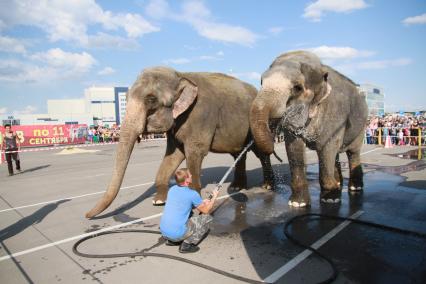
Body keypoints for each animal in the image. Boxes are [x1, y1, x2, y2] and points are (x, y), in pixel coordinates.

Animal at [85, 67, 274, 219]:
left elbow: (195, 153)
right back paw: (237, 188)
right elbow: (174, 154)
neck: (181, 74)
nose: (86, 216)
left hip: (258, 125)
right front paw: (159, 201)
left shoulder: (201, 115)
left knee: (261, 152)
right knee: (238, 154)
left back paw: (267, 186)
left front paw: (195, 201)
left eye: (151, 99)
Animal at [251, 50, 368, 206]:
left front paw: (330, 199)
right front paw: (298, 204)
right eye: (261, 82)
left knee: (352, 153)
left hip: (361, 126)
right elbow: (294, 149)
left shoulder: (335, 112)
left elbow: (326, 148)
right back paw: (338, 184)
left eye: (297, 88)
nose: (273, 139)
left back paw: (355, 188)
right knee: (336, 154)